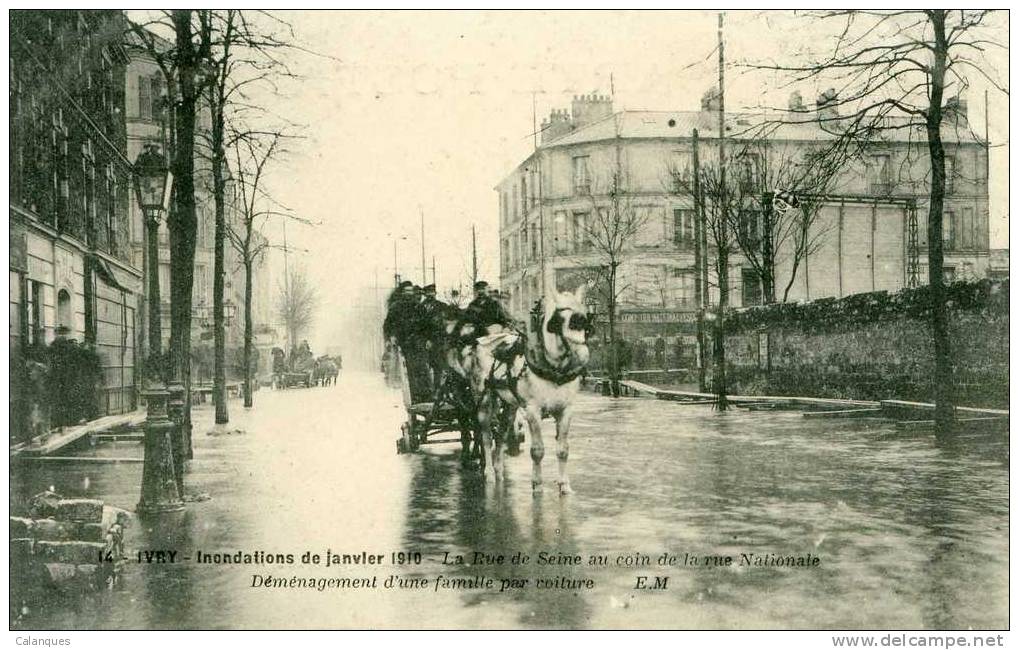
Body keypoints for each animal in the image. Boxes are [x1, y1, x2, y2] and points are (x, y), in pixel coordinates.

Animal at [460, 287, 591, 497]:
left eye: (585, 320)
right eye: (559, 321)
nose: (582, 356)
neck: (554, 367)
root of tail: (482, 341)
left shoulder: (566, 409)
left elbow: (563, 449)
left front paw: (564, 484)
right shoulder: (532, 410)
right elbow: (537, 450)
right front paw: (537, 484)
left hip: (510, 405)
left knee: (501, 434)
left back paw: (498, 469)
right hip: (484, 401)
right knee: (486, 437)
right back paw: (489, 472)